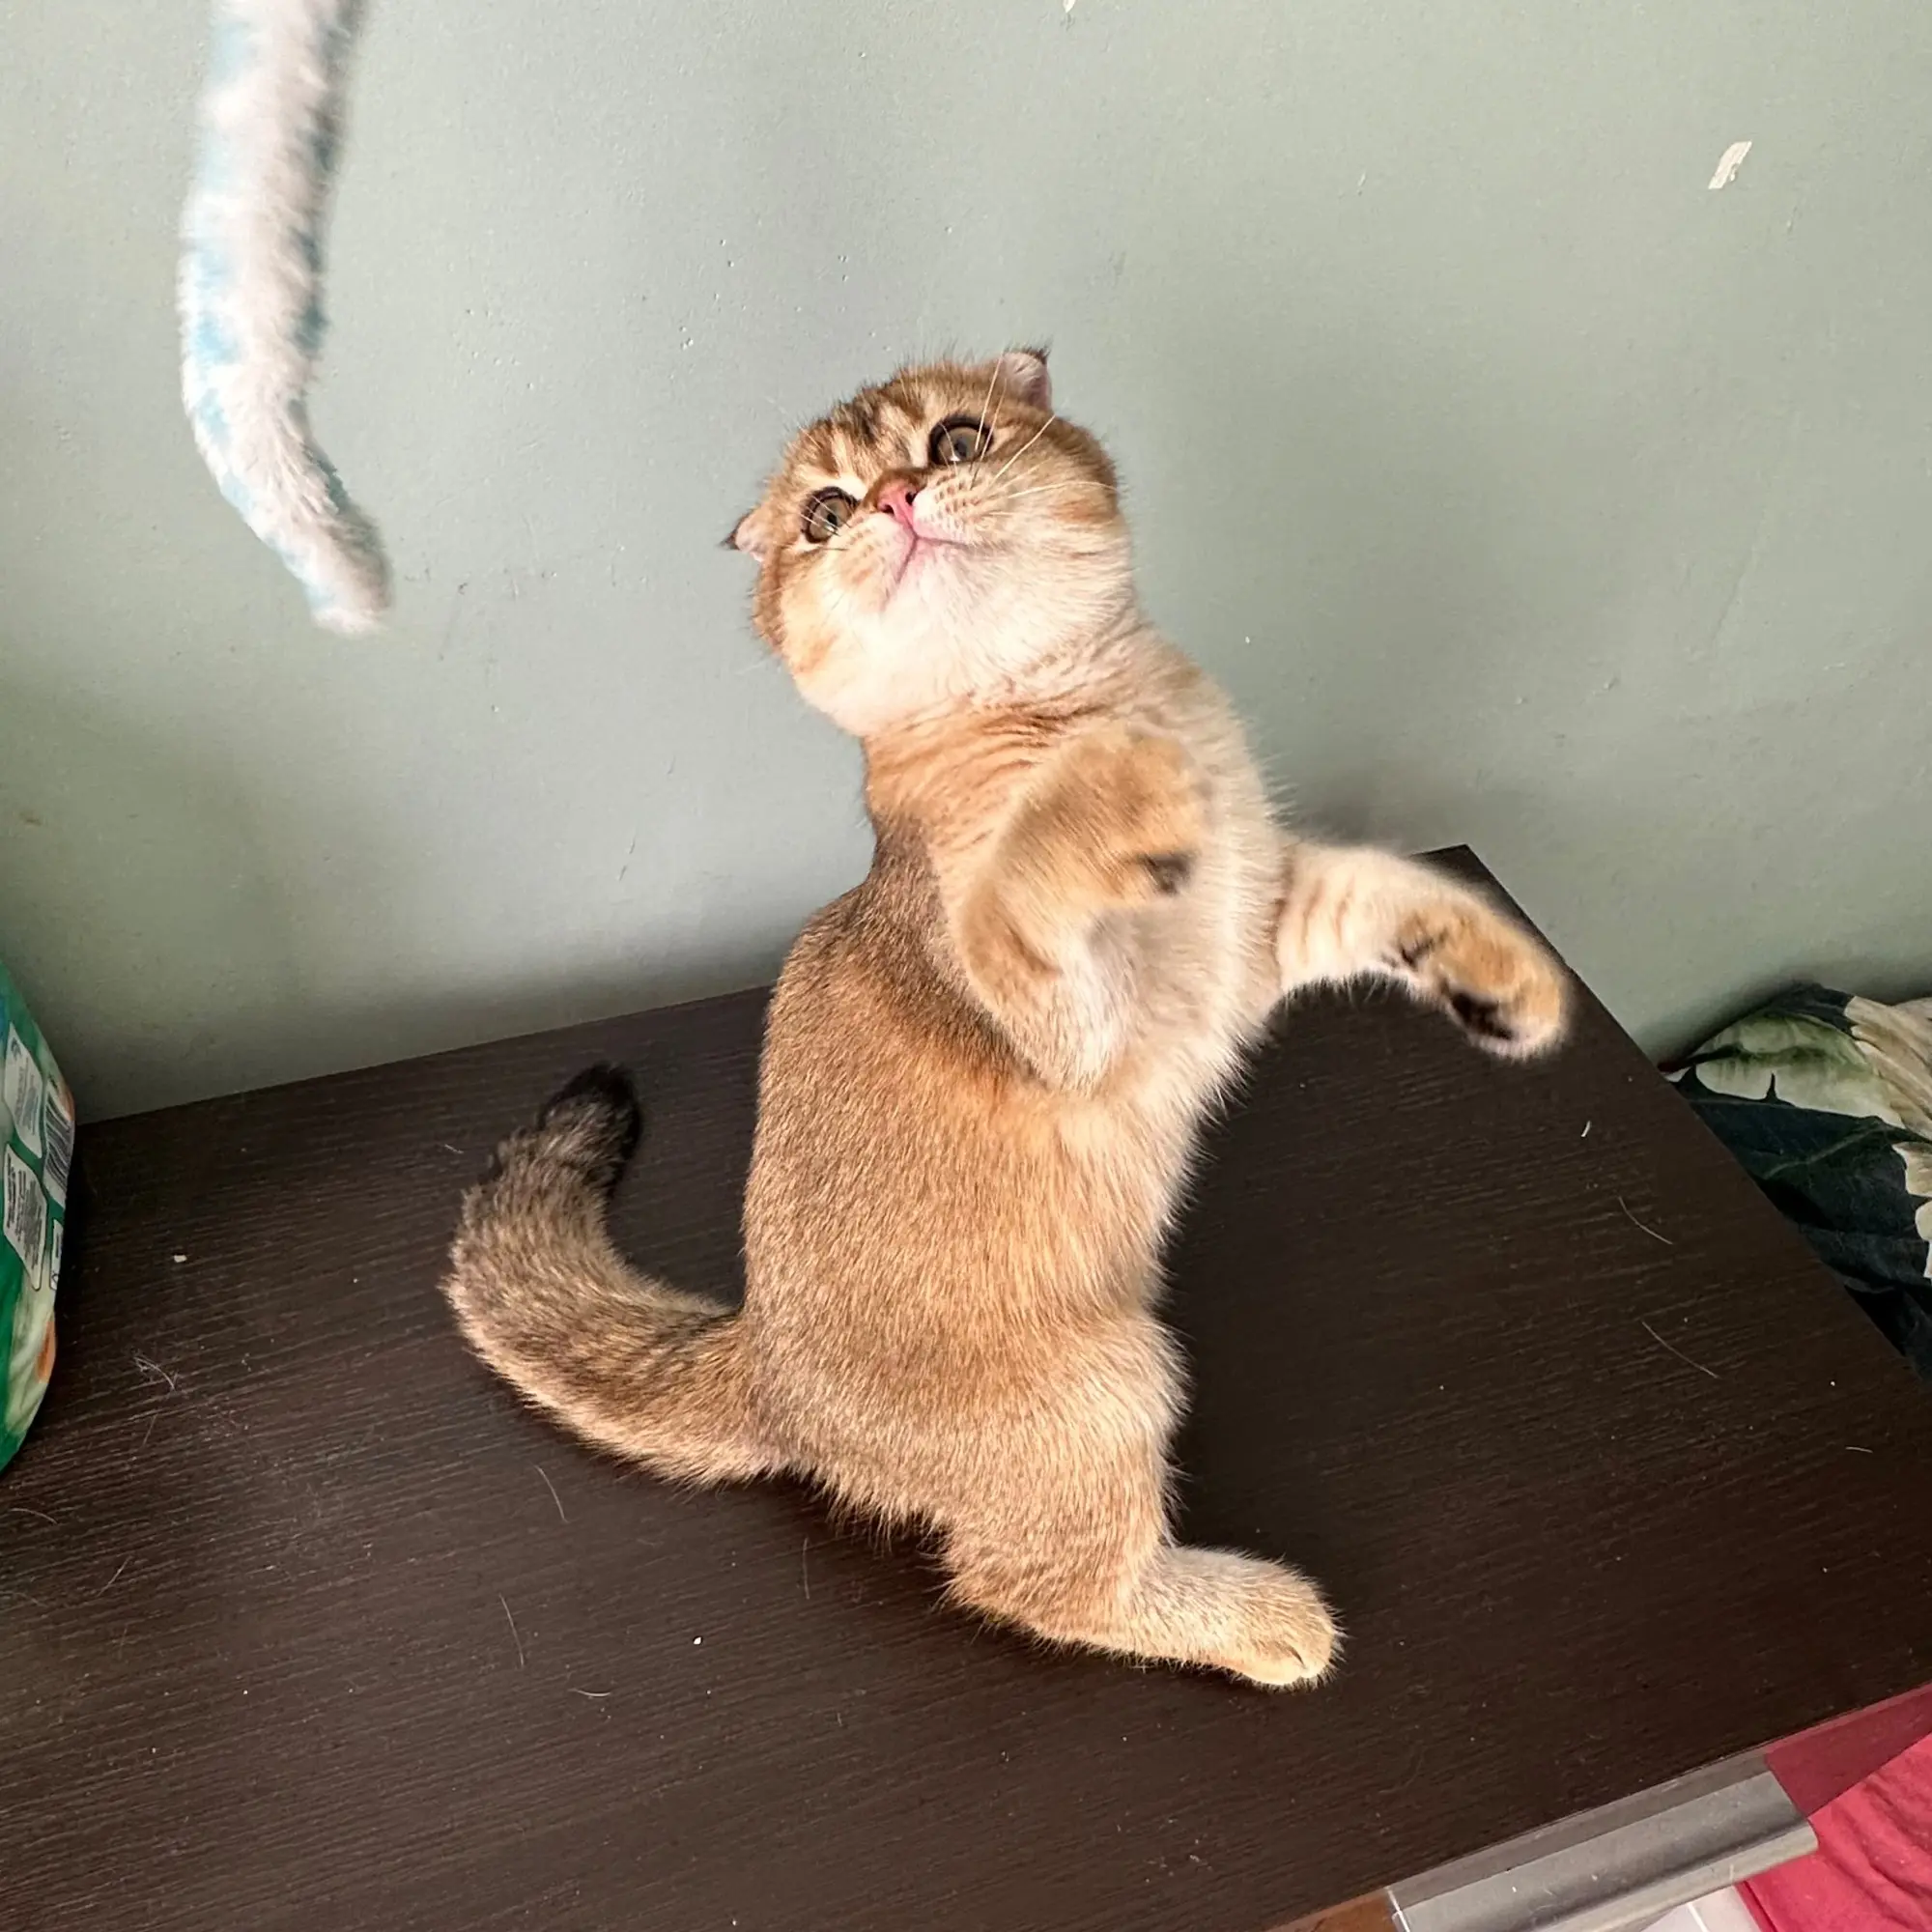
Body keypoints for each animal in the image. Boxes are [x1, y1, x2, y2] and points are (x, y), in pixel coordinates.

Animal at [442, 349, 1568, 1687]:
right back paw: (1254, 1613)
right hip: (1107, 1386)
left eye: (956, 440)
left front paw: (1507, 977)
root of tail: (762, 1361)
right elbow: (1023, 882)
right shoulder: (1074, 1022)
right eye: (824, 513)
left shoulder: (1249, 934)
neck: (1057, 699)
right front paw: (1106, 780)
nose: (892, 500)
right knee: (1026, 1585)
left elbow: (1381, 892)